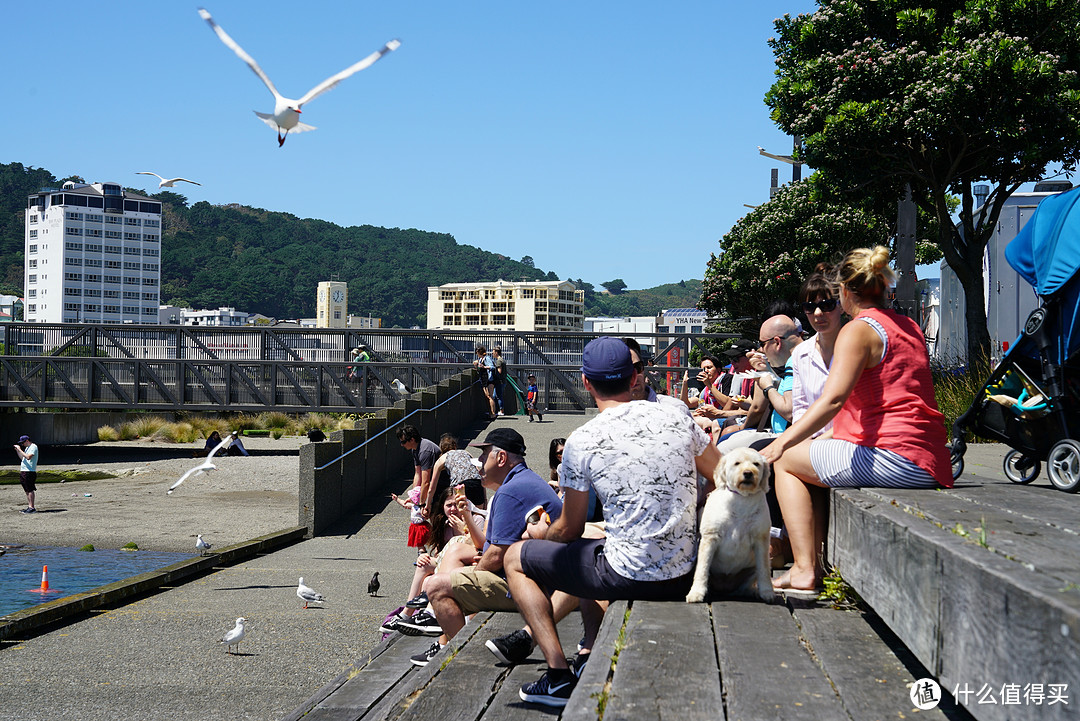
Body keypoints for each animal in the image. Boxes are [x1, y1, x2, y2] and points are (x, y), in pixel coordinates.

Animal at [686, 446, 773, 604]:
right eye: (737, 463)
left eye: (756, 464)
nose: (748, 473)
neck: (742, 498)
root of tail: (725, 587)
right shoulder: (709, 538)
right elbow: (702, 569)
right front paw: (696, 592)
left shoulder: (761, 540)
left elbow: (764, 569)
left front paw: (767, 591)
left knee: (745, 585)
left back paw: (751, 591)